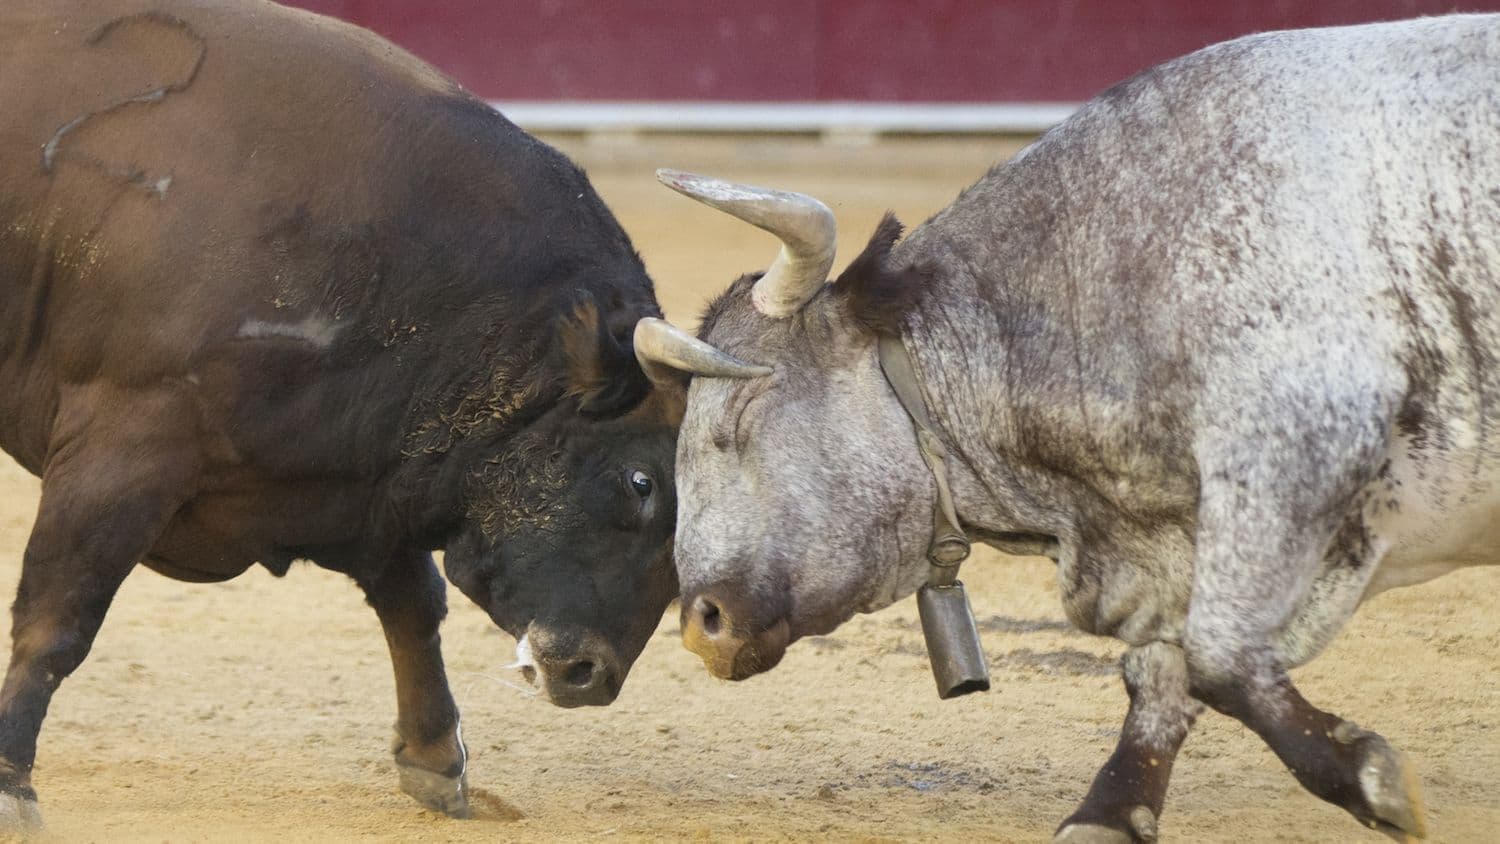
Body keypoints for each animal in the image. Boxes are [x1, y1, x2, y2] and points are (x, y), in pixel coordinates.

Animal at [0, 0, 699, 827]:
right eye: (641, 482)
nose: (592, 674)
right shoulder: (123, 449)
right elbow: (58, 621)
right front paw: (11, 783)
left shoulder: (372, 478)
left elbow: (412, 603)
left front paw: (435, 760)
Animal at [639, 13, 1500, 844]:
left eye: (745, 412)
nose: (700, 624)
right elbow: (1166, 665)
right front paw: (1110, 810)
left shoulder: (1300, 450)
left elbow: (1217, 654)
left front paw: (1369, 776)